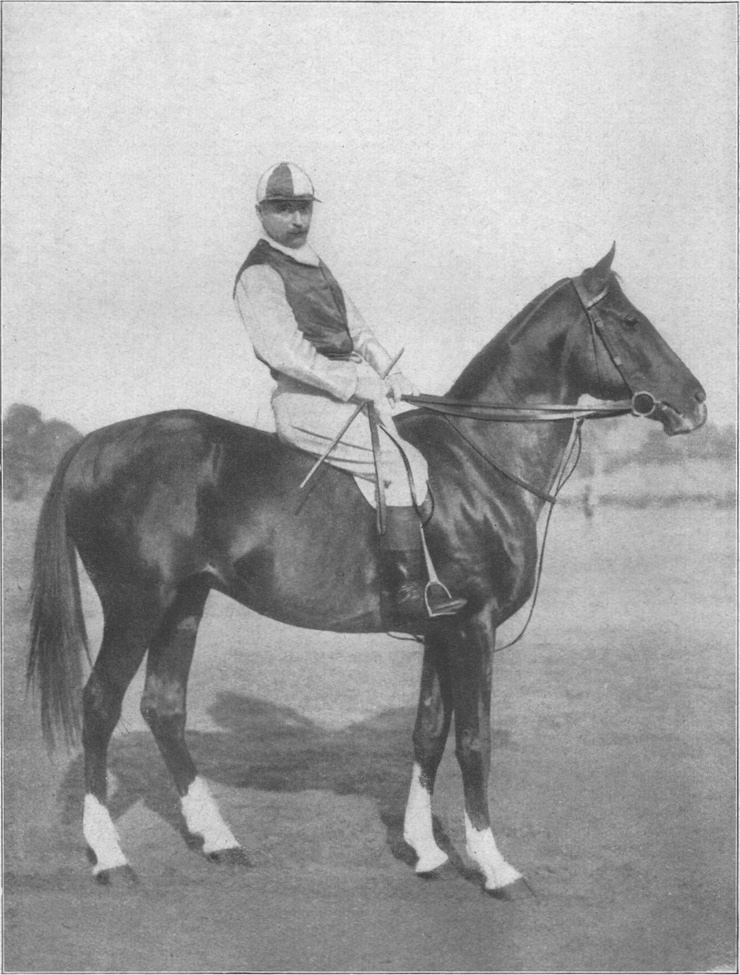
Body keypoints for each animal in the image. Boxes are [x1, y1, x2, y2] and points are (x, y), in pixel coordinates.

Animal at [27, 244, 706, 894]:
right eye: (629, 321)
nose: (697, 402)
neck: (478, 461)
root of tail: (92, 444)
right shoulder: (474, 626)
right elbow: (474, 743)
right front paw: (494, 867)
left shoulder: (442, 629)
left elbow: (428, 731)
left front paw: (427, 851)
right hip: (136, 604)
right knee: (99, 706)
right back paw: (110, 857)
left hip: (185, 602)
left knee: (164, 708)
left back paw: (219, 840)